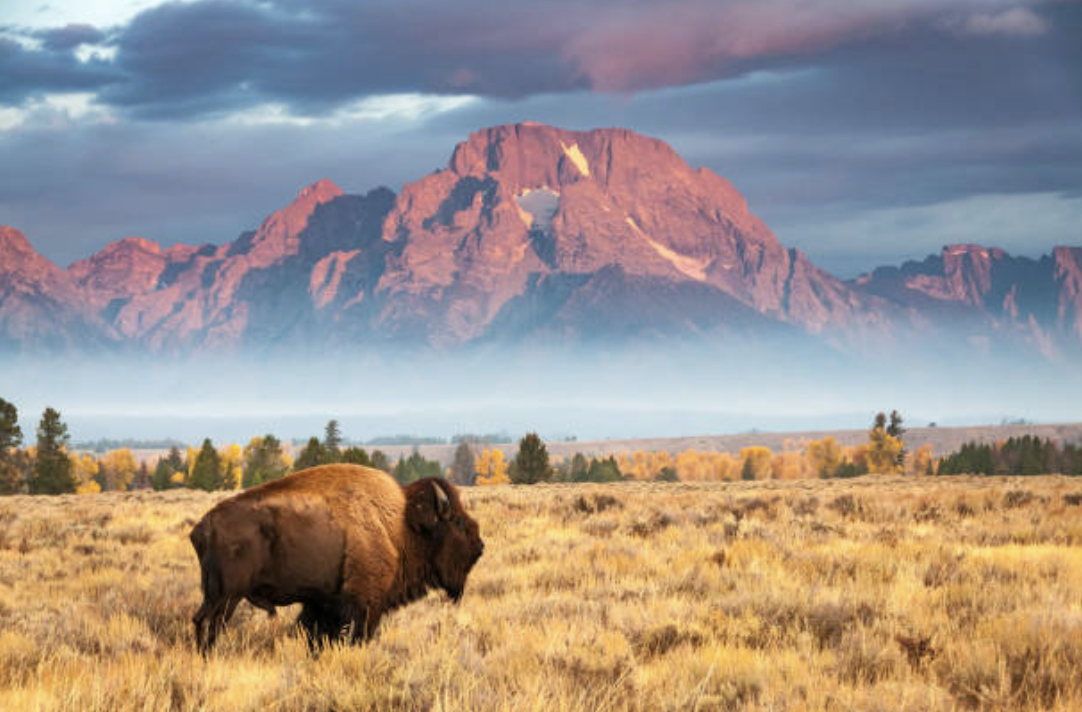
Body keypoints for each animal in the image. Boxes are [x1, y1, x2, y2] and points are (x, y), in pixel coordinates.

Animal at [189, 464, 484, 653]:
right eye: (458, 522)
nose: (480, 546)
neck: (400, 525)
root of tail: (202, 527)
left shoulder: (322, 604)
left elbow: (315, 636)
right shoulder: (363, 605)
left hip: (215, 595)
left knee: (200, 621)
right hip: (227, 596)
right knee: (209, 624)